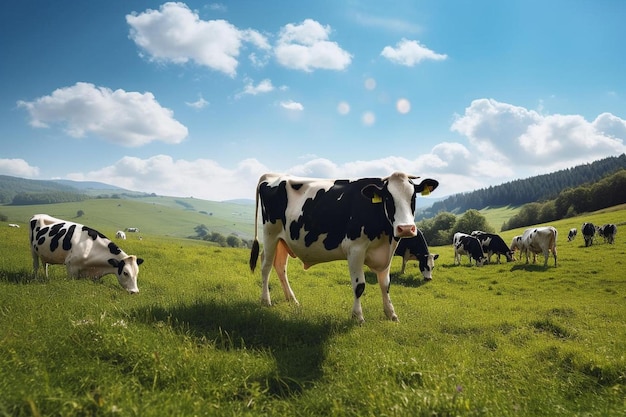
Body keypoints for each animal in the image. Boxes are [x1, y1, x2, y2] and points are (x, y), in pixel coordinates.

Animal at [246, 171, 436, 324]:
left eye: (413, 197)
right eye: (388, 198)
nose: (406, 229)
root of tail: (273, 175)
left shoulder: (387, 251)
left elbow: (385, 284)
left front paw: (391, 314)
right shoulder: (355, 249)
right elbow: (359, 286)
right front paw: (358, 317)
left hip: (284, 240)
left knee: (280, 266)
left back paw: (292, 300)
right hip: (270, 233)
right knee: (266, 266)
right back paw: (266, 301)